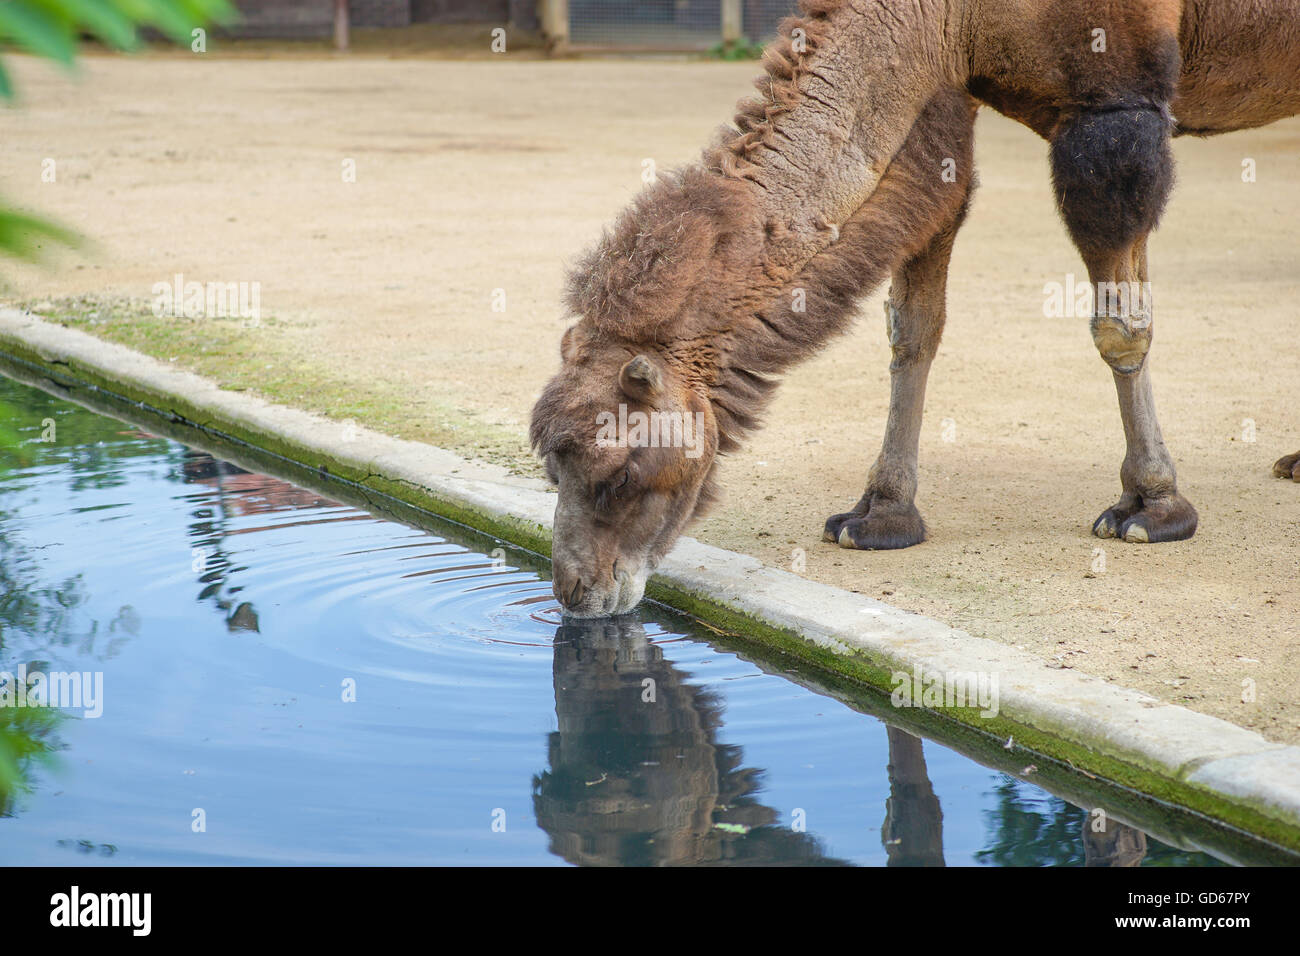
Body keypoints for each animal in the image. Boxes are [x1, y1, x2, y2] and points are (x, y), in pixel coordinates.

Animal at [527, 0, 1300, 616]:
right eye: (553, 470)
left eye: (618, 475)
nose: (574, 594)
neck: (941, 13)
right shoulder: (944, 91)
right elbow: (913, 325)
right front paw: (882, 515)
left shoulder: (1115, 104)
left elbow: (1119, 327)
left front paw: (1154, 505)